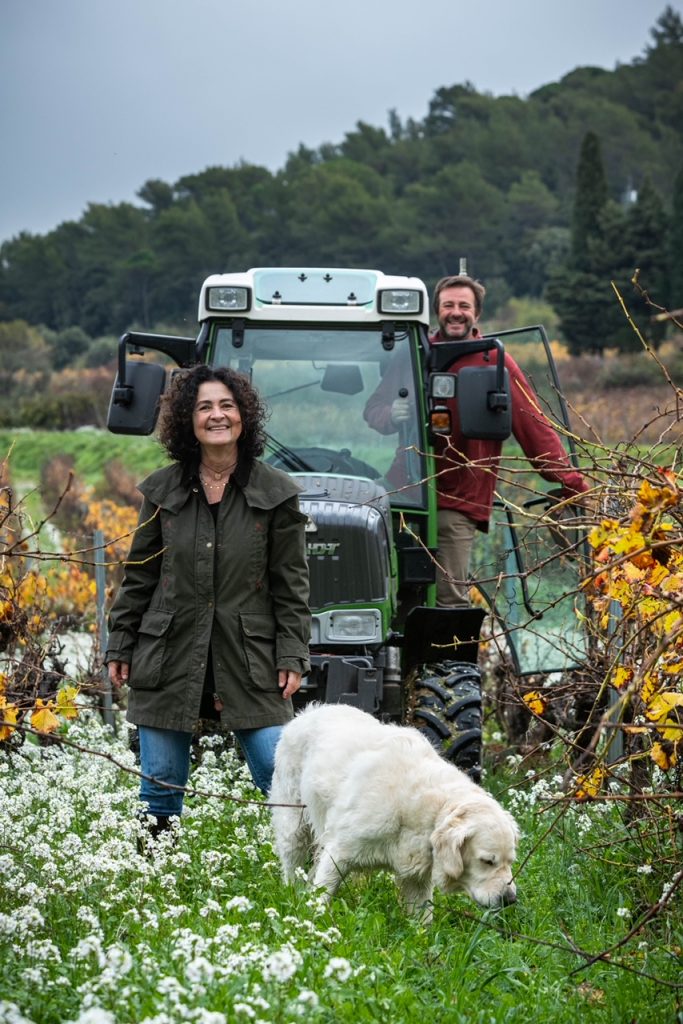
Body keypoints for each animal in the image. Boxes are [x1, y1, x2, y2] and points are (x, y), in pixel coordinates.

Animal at [268, 704, 518, 921]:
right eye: (487, 861)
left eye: (510, 861)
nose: (510, 900)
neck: (422, 806)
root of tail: (307, 712)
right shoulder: (338, 852)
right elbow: (322, 893)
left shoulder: (417, 877)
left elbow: (422, 921)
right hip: (294, 824)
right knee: (292, 866)